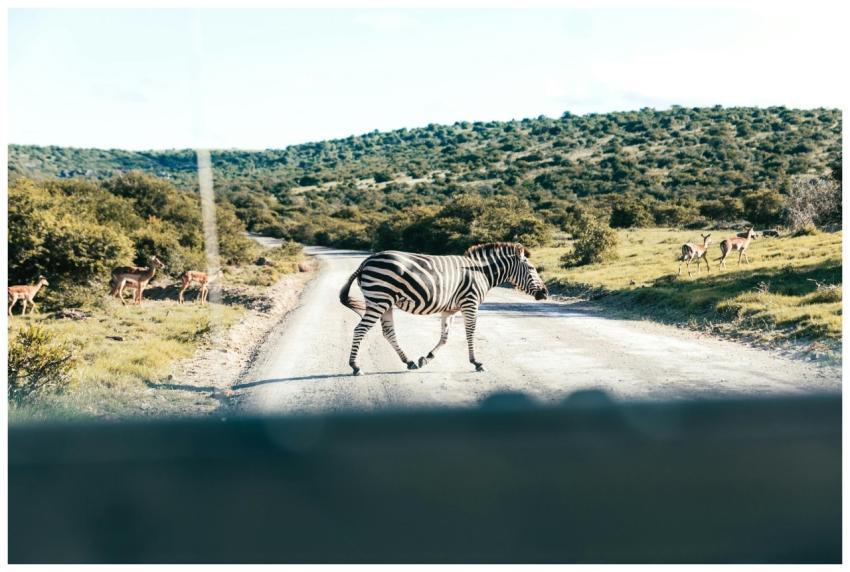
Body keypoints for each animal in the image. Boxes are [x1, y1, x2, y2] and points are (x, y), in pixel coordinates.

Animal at [339, 242, 548, 376]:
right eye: (532, 269)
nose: (545, 293)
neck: (482, 273)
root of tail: (367, 261)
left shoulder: (450, 309)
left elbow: (445, 337)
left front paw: (426, 358)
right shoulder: (470, 303)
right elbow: (470, 332)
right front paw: (476, 363)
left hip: (386, 302)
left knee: (388, 332)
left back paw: (409, 362)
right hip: (379, 299)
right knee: (360, 329)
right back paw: (355, 367)